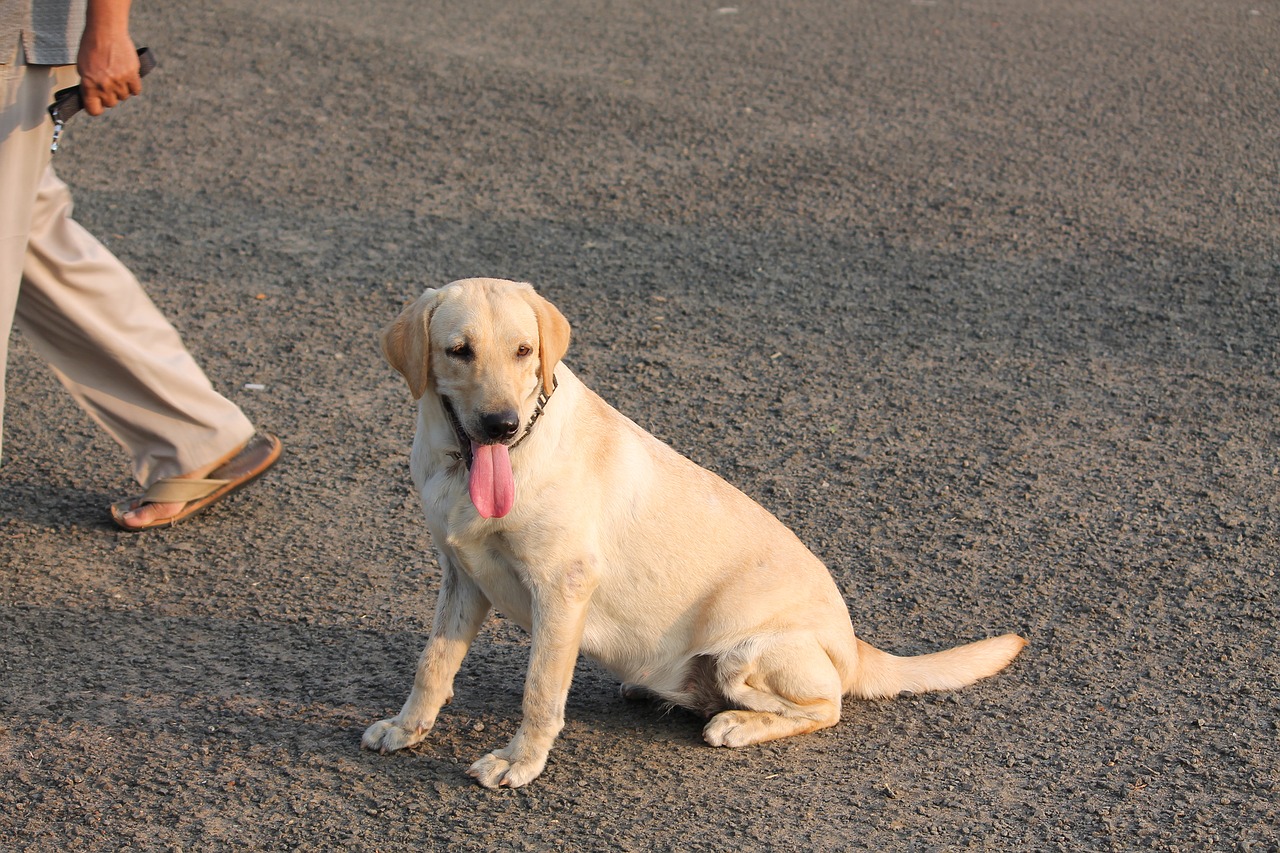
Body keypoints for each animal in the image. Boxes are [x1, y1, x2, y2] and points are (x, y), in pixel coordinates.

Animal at [366, 277, 1024, 783]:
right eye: (459, 350)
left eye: (525, 351)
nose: (501, 424)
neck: (466, 470)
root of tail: (853, 643)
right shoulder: (461, 578)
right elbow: (432, 665)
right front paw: (407, 727)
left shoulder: (562, 589)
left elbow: (540, 691)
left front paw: (519, 762)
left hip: (745, 655)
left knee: (826, 707)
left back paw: (735, 722)